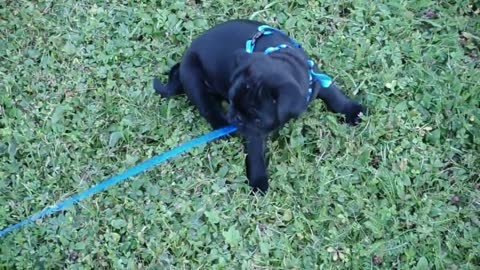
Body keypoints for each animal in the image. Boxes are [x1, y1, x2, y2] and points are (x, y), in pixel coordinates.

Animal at [154, 19, 364, 193]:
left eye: (256, 117)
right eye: (231, 99)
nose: (235, 117)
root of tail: (183, 60)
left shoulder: (317, 80)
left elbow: (334, 94)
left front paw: (353, 111)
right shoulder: (253, 133)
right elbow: (255, 153)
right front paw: (258, 180)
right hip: (194, 81)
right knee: (208, 108)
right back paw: (223, 126)